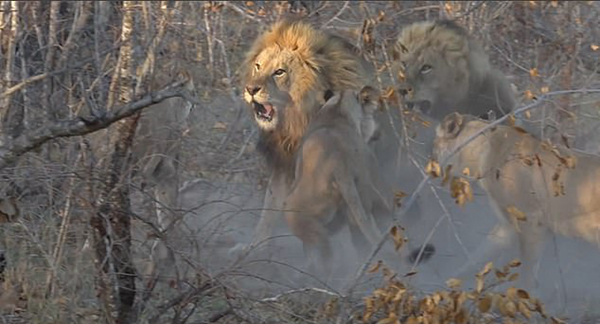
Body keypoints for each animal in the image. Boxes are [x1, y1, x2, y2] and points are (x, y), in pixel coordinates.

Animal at [234, 19, 376, 253]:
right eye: (258, 66)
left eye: (279, 72)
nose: (250, 89)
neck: (295, 122)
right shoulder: (283, 166)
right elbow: (268, 212)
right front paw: (252, 249)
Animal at [432, 112, 600, 288]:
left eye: (434, 146)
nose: (430, 164)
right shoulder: (508, 225)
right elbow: (479, 255)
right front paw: (449, 281)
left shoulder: (531, 222)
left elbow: (527, 273)